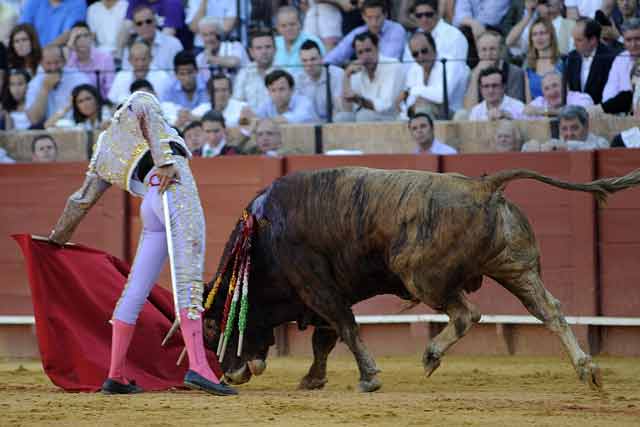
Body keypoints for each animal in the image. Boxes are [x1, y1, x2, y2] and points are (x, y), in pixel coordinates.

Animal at [201, 166, 640, 392]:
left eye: (212, 326)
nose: (229, 374)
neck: (263, 239)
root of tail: (484, 186)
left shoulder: (316, 286)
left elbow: (344, 327)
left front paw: (369, 378)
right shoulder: (324, 292)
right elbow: (325, 339)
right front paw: (313, 379)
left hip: (418, 274)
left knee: (467, 314)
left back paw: (431, 354)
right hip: (515, 267)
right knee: (550, 310)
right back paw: (587, 369)